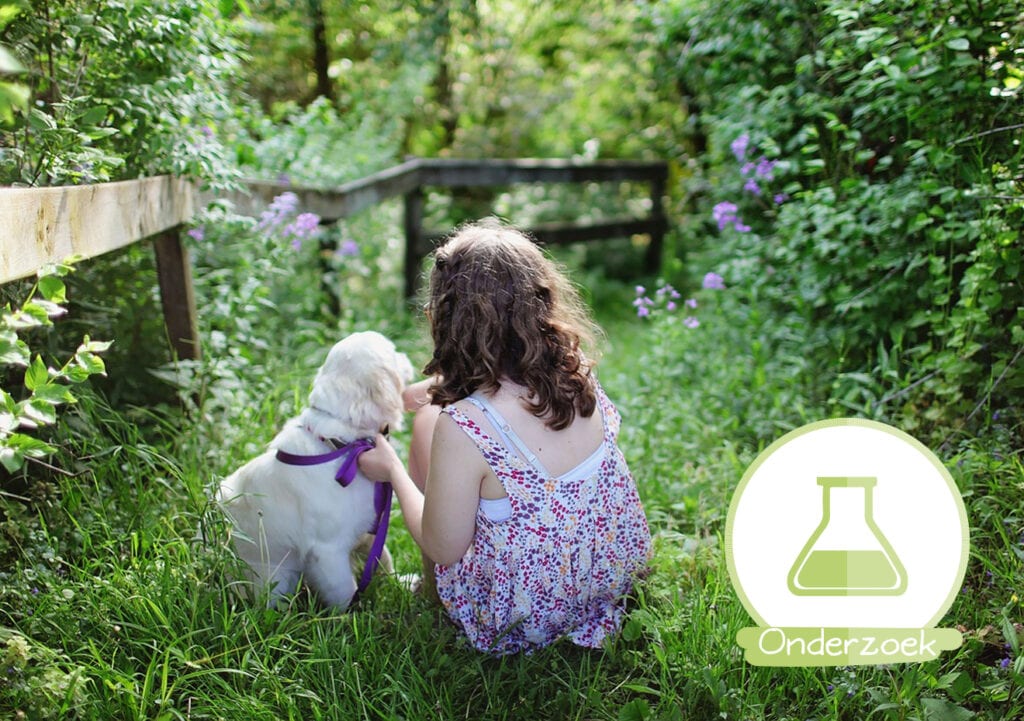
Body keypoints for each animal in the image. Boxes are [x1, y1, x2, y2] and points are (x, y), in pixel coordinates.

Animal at [218, 331, 413, 606]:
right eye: (393, 352)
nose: (406, 356)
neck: (342, 445)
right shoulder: (328, 552)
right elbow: (345, 591)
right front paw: (352, 614)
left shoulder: (369, 528)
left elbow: (383, 558)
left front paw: (402, 583)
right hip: (276, 579)